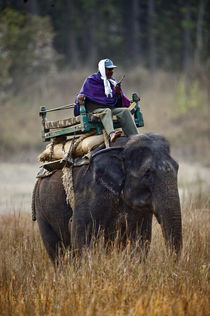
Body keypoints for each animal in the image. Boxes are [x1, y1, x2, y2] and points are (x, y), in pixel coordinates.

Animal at [32, 133, 182, 264]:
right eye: (147, 173)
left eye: (177, 167)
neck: (122, 148)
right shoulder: (90, 191)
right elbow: (81, 238)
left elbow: (140, 238)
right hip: (42, 208)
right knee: (56, 251)